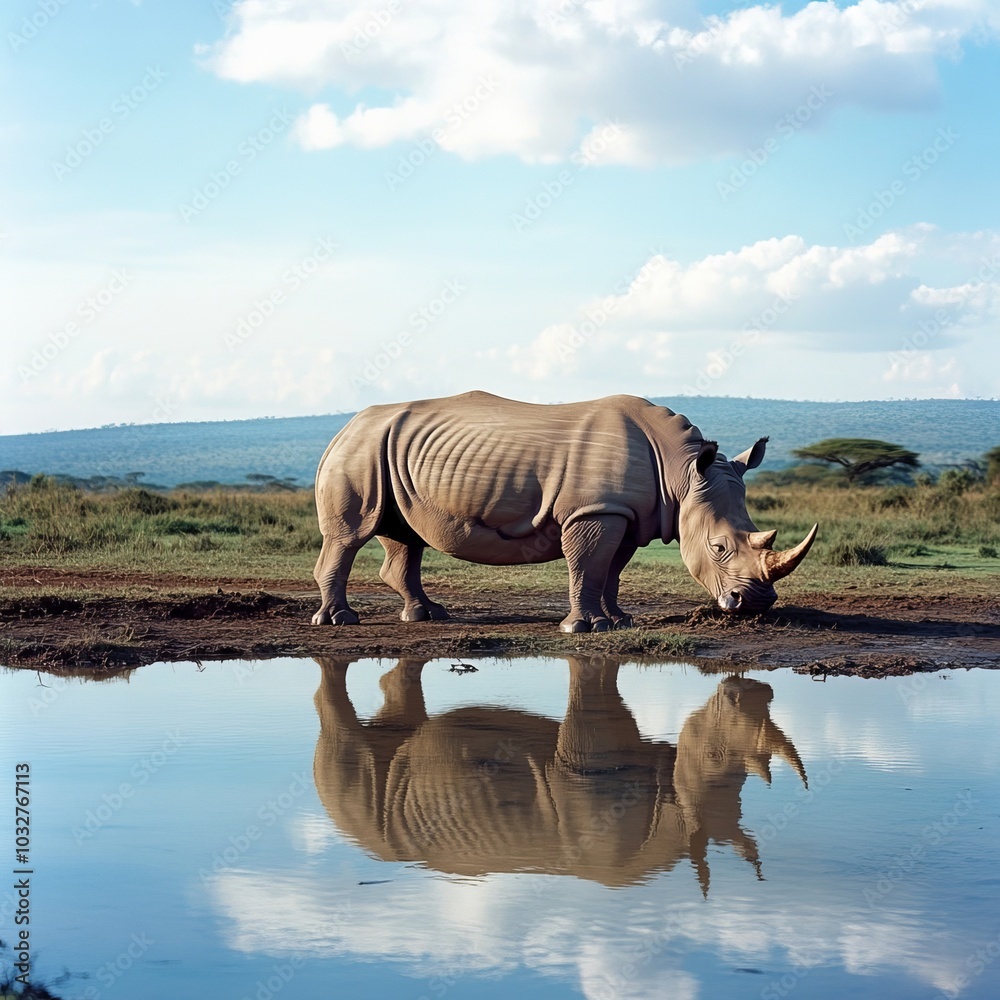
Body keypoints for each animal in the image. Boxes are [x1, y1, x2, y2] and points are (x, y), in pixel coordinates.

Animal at [312, 391, 817, 631]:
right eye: (718, 548)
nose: (755, 605)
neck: (679, 473)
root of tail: (343, 427)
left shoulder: (623, 514)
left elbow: (610, 570)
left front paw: (618, 621)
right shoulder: (594, 511)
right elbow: (588, 565)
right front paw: (583, 628)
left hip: (386, 451)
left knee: (404, 535)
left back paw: (428, 616)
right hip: (360, 451)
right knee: (351, 534)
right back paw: (339, 620)